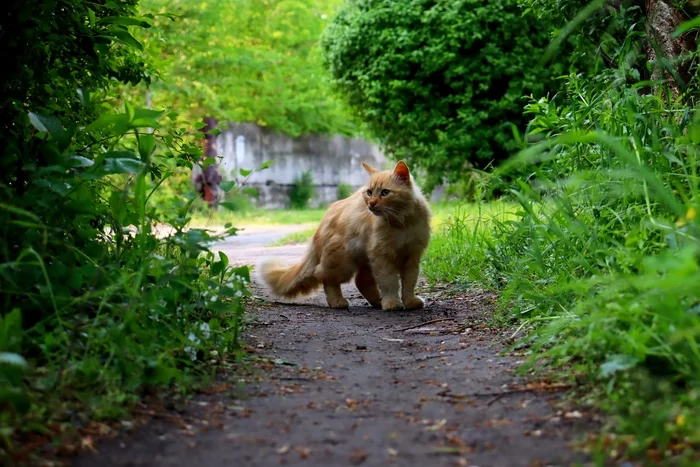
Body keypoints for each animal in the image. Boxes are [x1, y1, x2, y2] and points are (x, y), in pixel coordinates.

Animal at [258, 161, 432, 310]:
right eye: (369, 192)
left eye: (385, 192)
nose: (371, 204)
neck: (402, 223)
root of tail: (321, 224)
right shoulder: (382, 256)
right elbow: (389, 282)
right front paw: (392, 303)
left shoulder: (412, 256)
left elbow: (409, 283)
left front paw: (410, 302)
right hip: (343, 260)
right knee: (325, 276)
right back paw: (337, 302)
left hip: (363, 259)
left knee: (360, 281)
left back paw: (377, 301)